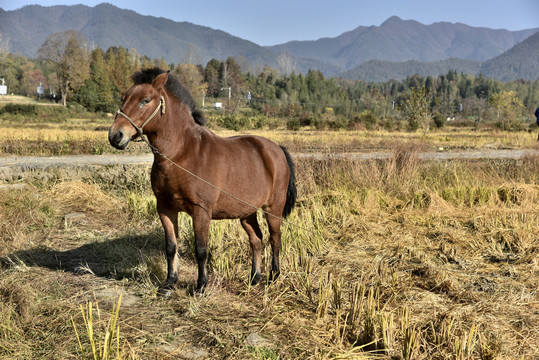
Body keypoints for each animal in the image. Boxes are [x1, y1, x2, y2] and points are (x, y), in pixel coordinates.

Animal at [108, 68, 298, 296]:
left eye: (145, 100)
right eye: (124, 98)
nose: (115, 136)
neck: (182, 154)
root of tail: (277, 149)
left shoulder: (200, 211)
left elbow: (201, 249)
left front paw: (200, 286)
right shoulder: (165, 209)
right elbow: (171, 247)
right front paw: (169, 283)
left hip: (273, 208)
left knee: (275, 239)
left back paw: (273, 276)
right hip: (247, 212)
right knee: (257, 240)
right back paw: (254, 278)